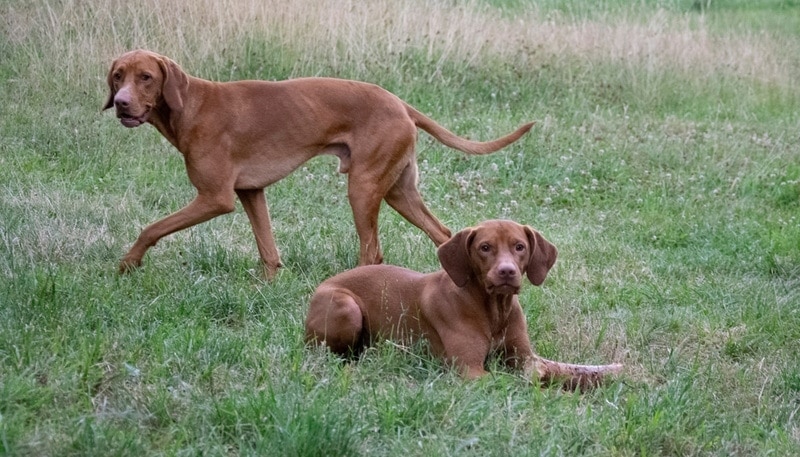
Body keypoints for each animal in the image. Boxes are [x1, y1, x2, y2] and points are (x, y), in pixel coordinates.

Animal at [103, 50, 536, 278]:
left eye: (145, 77)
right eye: (117, 76)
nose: (121, 104)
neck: (191, 105)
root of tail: (400, 103)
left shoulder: (215, 198)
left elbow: (151, 227)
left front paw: (126, 265)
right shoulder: (250, 192)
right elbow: (267, 248)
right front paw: (268, 284)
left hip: (363, 188)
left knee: (372, 250)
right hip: (399, 192)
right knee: (442, 233)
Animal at [304, 220, 620, 388]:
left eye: (519, 246)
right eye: (485, 248)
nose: (507, 272)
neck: (495, 310)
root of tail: (322, 285)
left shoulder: (525, 357)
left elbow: (562, 369)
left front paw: (605, 375)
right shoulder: (471, 370)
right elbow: (519, 382)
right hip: (347, 307)